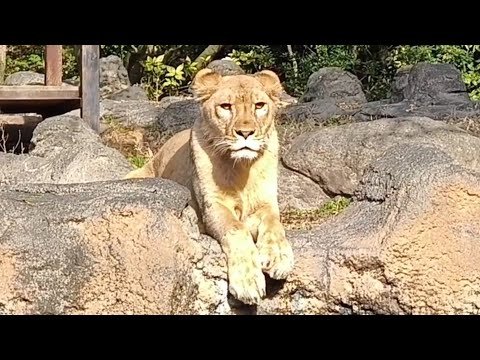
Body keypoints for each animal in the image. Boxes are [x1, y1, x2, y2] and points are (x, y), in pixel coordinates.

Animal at [124, 67, 292, 304]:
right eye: (226, 106)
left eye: (259, 105)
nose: (246, 133)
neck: (241, 168)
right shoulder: (212, 207)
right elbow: (237, 229)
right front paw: (248, 282)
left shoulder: (266, 204)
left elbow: (274, 225)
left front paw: (278, 257)